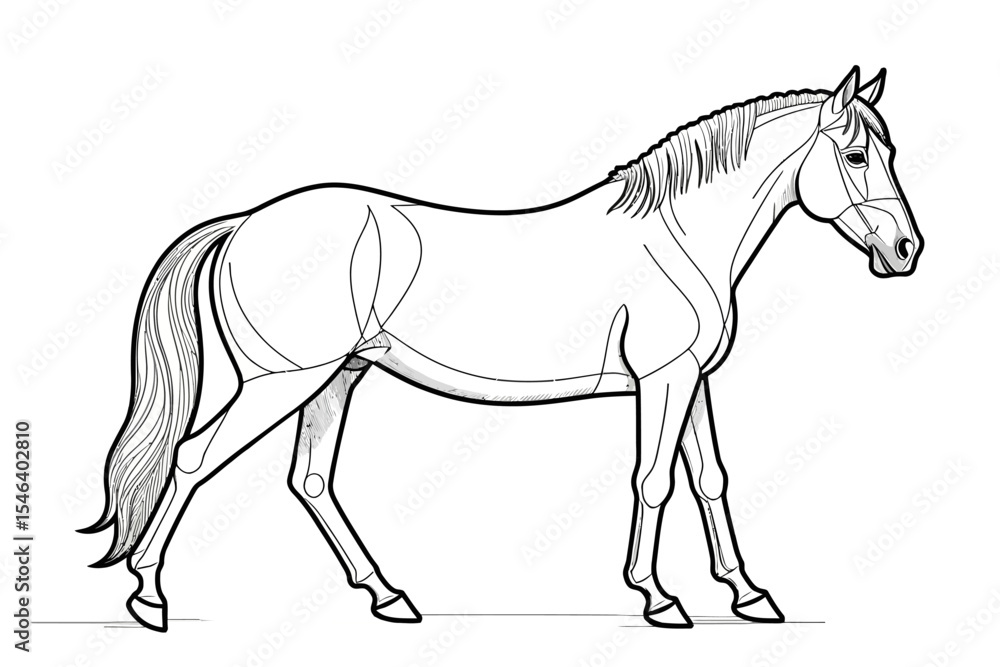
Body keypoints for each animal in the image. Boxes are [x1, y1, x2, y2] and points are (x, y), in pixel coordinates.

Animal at [83, 66, 922, 631]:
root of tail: (246, 221)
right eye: (856, 157)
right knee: (194, 457)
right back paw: (148, 595)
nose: (907, 251)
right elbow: (654, 480)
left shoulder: (695, 381)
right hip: (280, 381)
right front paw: (658, 596)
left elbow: (710, 478)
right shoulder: (662, 381)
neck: (679, 237)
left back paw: (388, 595)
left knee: (312, 480)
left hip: (336, 378)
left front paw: (749, 593)